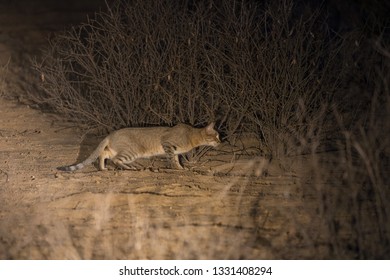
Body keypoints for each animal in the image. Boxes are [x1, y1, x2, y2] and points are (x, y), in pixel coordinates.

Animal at [56, 123, 219, 172]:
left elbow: (177, 159)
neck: (191, 134)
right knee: (115, 159)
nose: (221, 141)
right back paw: (129, 168)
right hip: (131, 152)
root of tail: (111, 133)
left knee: (104, 154)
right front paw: (178, 168)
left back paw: (103, 168)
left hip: (118, 150)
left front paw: (180, 166)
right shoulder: (168, 144)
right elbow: (172, 159)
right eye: (216, 136)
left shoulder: (176, 151)